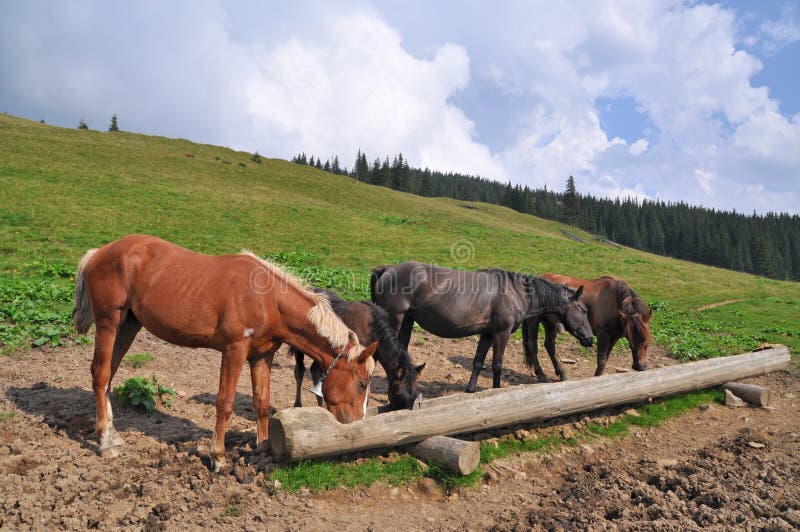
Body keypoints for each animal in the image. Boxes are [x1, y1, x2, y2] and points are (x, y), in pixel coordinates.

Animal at [72, 234, 377, 472]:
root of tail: (98, 253)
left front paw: (264, 446)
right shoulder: (234, 351)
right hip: (109, 322)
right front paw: (217, 457)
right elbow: (225, 402)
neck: (267, 300)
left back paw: (113, 435)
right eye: (362, 383)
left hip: (129, 325)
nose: (358, 424)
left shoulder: (261, 357)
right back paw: (105, 443)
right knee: (101, 375)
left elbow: (261, 402)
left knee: (109, 376)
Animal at [290, 288, 425, 411]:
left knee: (315, 370)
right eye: (399, 395)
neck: (373, 330)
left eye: (415, 395)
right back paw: (298, 405)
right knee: (300, 370)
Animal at [370, 262, 594, 393]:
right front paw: (496, 389)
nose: (590, 339)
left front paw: (470, 389)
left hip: (406, 322)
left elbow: (478, 361)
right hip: (395, 320)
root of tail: (387, 270)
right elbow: (497, 365)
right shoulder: (502, 334)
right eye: (583, 309)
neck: (516, 291)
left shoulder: (487, 334)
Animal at [523, 274, 651, 381]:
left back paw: (561, 373)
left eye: (647, 343)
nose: (640, 366)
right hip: (534, 321)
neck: (615, 301)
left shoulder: (613, 338)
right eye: (632, 342)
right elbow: (601, 361)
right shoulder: (603, 335)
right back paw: (541, 375)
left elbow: (605, 360)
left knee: (550, 346)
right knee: (532, 345)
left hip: (550, 323)